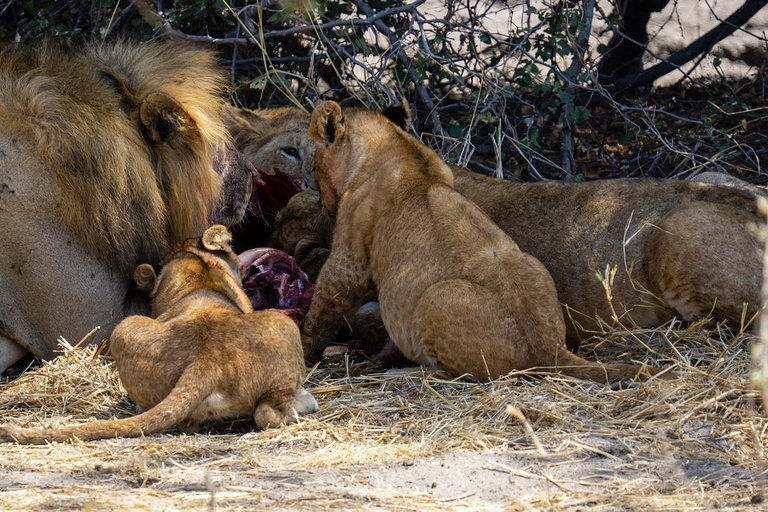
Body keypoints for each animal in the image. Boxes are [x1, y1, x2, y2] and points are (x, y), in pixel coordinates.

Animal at [0, 225, 318, 444]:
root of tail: (206, 361)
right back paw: (304, 404)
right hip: (284, 325)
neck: (197, 273)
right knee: (266, 414)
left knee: (182, 422)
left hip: (124, 329)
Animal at [300, 101, 648, 380]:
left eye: (313, 167)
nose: (321, 206)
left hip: (435, 297)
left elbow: (326, 303)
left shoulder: (350, 257)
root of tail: (550, 350)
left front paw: (305, 350)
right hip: (533, 263)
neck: (394, 145)